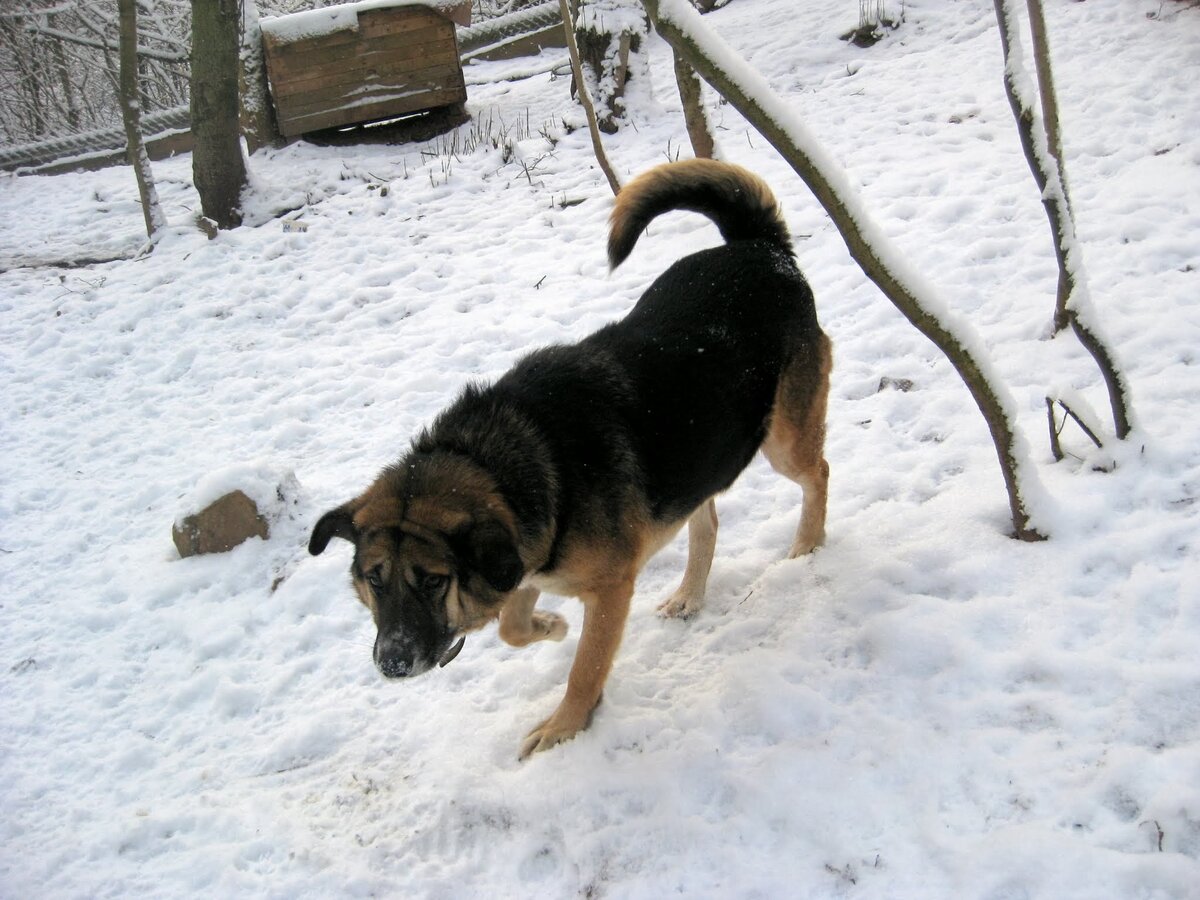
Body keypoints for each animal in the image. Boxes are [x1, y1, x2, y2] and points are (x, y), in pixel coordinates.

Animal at [309, 158, 830, 758]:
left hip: (783, 440)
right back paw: (689, 595)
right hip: (697, 459)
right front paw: (549, 626)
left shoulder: (609, 590)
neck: (505, 463)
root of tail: (759, 247)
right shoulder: (530, 557)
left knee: (818, 473)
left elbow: (585, 669)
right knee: (708, 521)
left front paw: (564, 728)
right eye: (374, 579)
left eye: (435, 581)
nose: (391, 662)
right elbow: (513, 625)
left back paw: (809, 544)